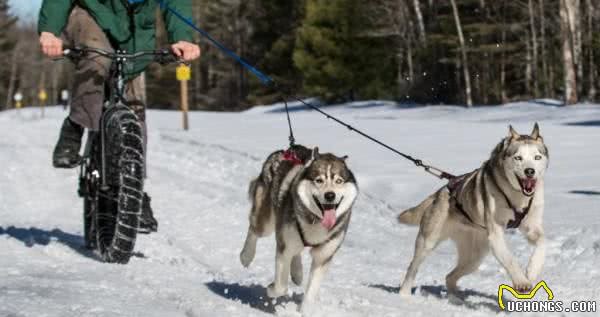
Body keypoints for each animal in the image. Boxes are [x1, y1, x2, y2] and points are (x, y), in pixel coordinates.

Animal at [240, 144, 360, 312]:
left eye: (339, 181)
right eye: (319, 180)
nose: (330, 195)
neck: (316, 221)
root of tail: (287, 149)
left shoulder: (323, 256)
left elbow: (311, 292)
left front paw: (304, 311)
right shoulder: (283, 248)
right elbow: (280, 286)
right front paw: (271, 289)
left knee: (296, 252)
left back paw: (297, 273)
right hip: (266, 222)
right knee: (254, 229)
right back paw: (246, 255)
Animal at [398, 124, 548, 296]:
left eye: (537, 157)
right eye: (518, 158)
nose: (530, 171)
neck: (517, 196)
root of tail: (441, 192)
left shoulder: (532, 228)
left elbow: (543, 243)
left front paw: (532, 271)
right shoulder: (495, 235)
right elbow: (509, 259)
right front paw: (522, 282)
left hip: (474, 258)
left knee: (449, 277)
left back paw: (456, 298)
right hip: (427, 242)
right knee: (412, 268)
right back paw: (404, 296)